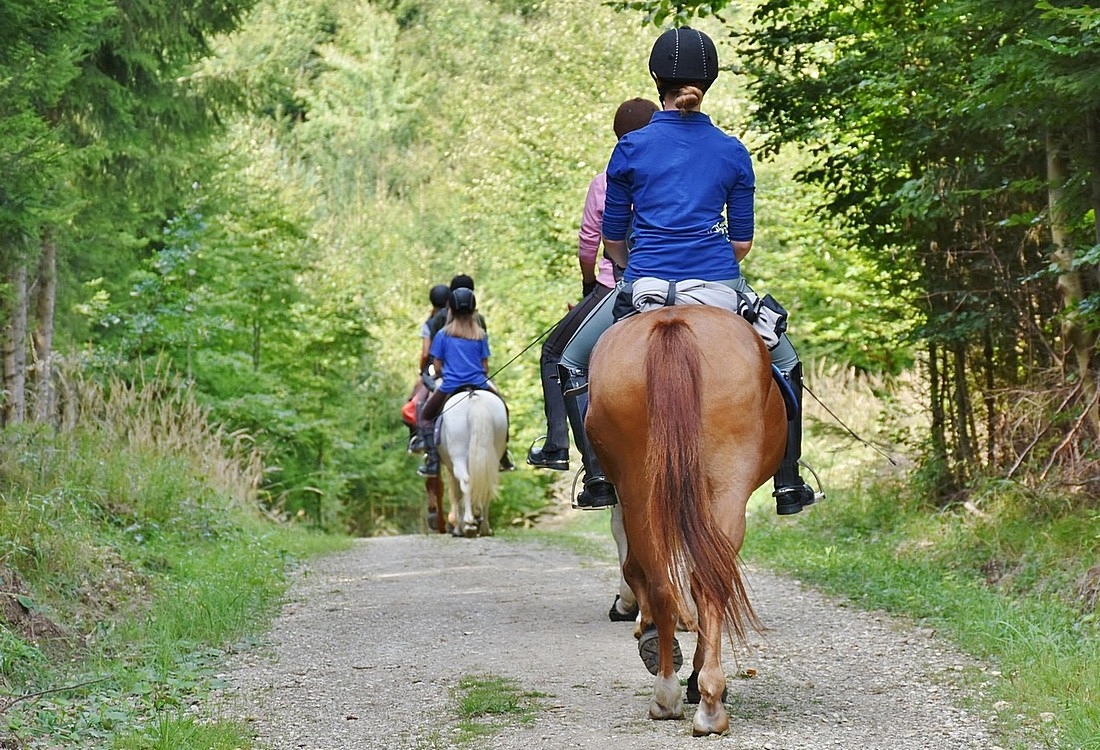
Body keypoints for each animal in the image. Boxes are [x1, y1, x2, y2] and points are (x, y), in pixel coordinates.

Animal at [437, 388, 509, 538]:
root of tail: (473, 397)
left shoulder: (450, 468)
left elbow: (455, 493)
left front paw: (458, 527)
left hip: (458, 455)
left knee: (465, 481)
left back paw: (469, 523)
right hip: (494, 453)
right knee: (487, 485)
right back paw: (484, 527)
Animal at [586, 304, 787, 736]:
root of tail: (671, 322)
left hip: (647, 489)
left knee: (673, 582)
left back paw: (676, 692)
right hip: (718, 488)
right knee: (700, 583)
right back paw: (700, 696)